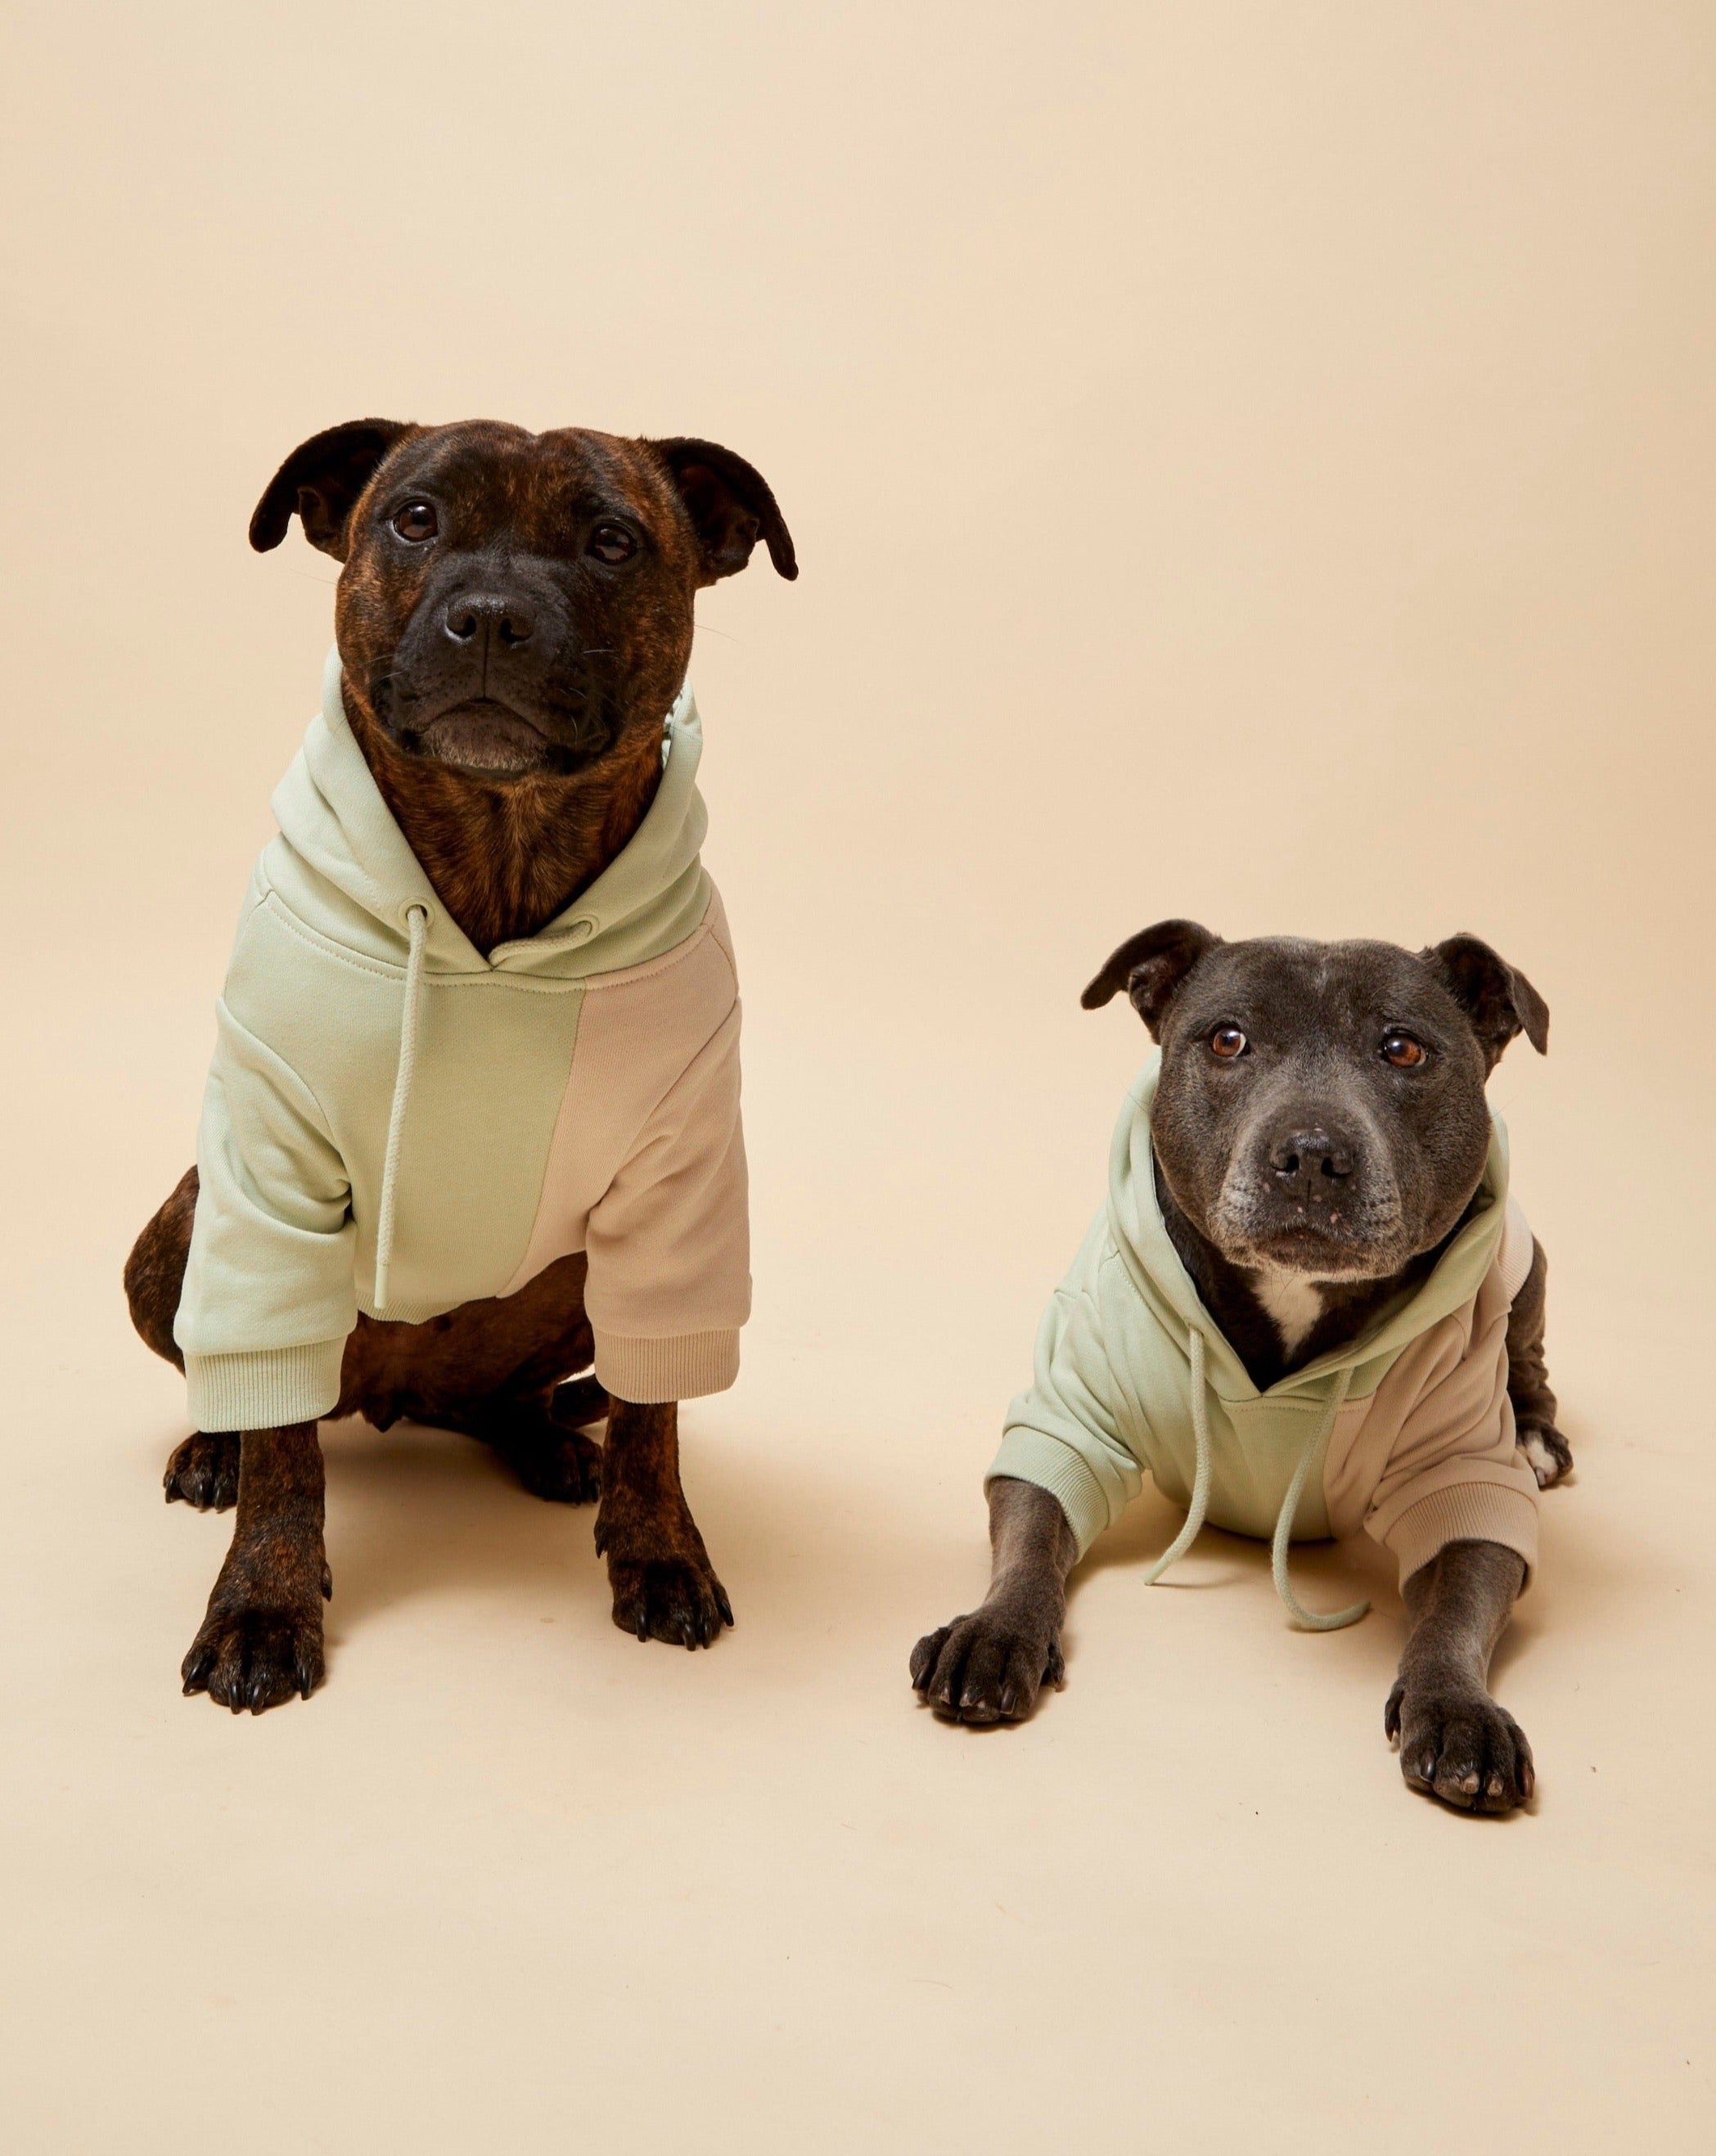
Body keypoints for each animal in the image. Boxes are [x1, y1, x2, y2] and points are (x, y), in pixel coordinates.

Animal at [125, 412, 797, 1707]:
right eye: (414, 518)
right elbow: (285, 1453)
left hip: (575, 1287)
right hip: (176, 1233)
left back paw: (548, 1441)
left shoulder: (676, 1203)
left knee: (514, 1393)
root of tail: (396, 1394)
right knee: (247, 1381)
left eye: (612, 539)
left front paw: (661, 1547)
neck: (500, 864)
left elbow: (657, 1414)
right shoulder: (268, 1180)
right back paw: (215, 1447)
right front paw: (262, 1600)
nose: (489, 614)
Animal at [909, 918, 1569, 1811]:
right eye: (1228, 1039)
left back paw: (1536, 1436)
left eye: (1402, 1049)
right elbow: (1029, 1543)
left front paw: (1459, 1709)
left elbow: (1456, 1610)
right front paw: (992, 1630)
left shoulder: (1462, 1474)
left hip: (1525, 1274)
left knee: (1529, 1364)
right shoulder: (1067, 1422)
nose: (1313, 1152)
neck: (1294, 1296)